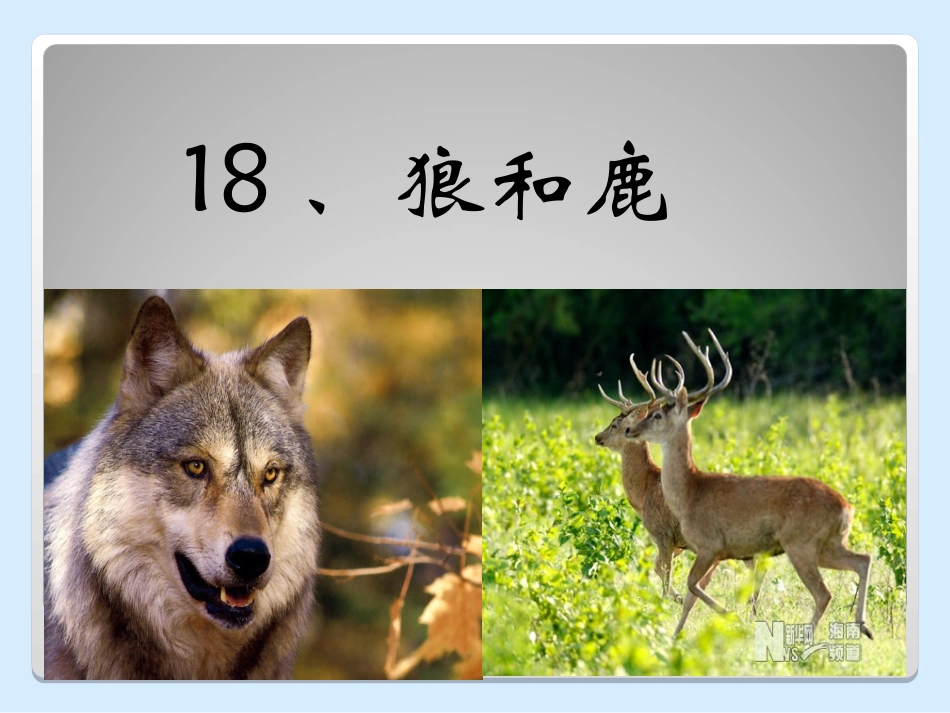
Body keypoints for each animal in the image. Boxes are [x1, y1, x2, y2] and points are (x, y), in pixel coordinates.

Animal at [595, 356, 762, 609]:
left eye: (614, 424)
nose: (598, 437)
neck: (643, 493)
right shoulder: (678, 542)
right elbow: (657, 567)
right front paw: (678, 598)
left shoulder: (663, 533)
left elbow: (665, 574)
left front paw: (666, 604)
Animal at [623, 330, 873, 640]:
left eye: (657, 415)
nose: (629, 429)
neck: (690, 493)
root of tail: (846, 507)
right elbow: (693, 590)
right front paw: (677, 635)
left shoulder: (711, 543)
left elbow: (692, 585)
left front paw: (734, 618)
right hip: (828, 544)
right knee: (863, 559)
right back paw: (863, 626)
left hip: (800, 543)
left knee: (824, 593)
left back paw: (805, 642)